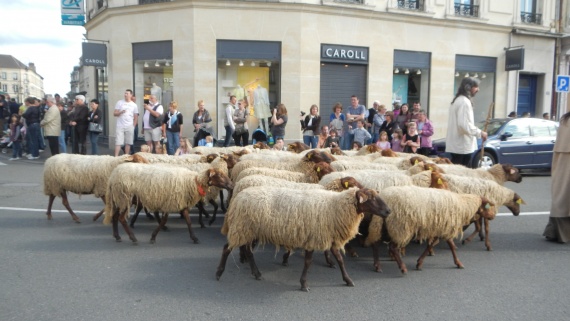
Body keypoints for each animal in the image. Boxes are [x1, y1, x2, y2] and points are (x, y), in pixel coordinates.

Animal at [103, 162, 232, 242]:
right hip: (125, 197)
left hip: (119, 199)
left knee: (115, 216)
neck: (193, 182)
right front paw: (153, 237)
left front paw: (194, 238)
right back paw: (133, 238)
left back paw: (117, 236)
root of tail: (113, 176)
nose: (231, 184)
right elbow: (164, 220)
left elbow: (188, 221)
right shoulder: (170, 202)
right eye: (219, 175)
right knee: (121, 218)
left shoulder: (181, 203)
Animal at [214, 186, 390, 292]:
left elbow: (340, 260)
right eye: (371, 198)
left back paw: (256, 273)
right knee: (226, 248)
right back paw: (218, 273)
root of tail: (238, 197)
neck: (335, 206)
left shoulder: (329, 237)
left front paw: (348, 280)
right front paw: (304, 284)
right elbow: (308, 262)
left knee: (248, 251)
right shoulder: (313, 238)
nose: (388, 211)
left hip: (248, 230)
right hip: (242, 227)